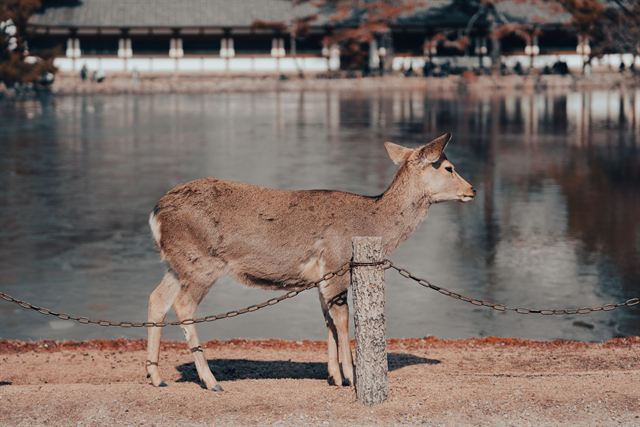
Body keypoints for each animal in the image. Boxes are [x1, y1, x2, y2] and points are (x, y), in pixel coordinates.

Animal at [145, 132, 475, 391]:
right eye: (449, 167)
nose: (471, 190)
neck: (372, 222)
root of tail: (156, 213)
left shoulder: (322, 275)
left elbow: (328, 319)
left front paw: (334, 376)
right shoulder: (336, 261)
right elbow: (341, 319)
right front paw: (352, 377)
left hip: (176, 263)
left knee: (157, 299)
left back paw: (156, 376)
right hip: (202, 262)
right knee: (183, 305)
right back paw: (210, 381)